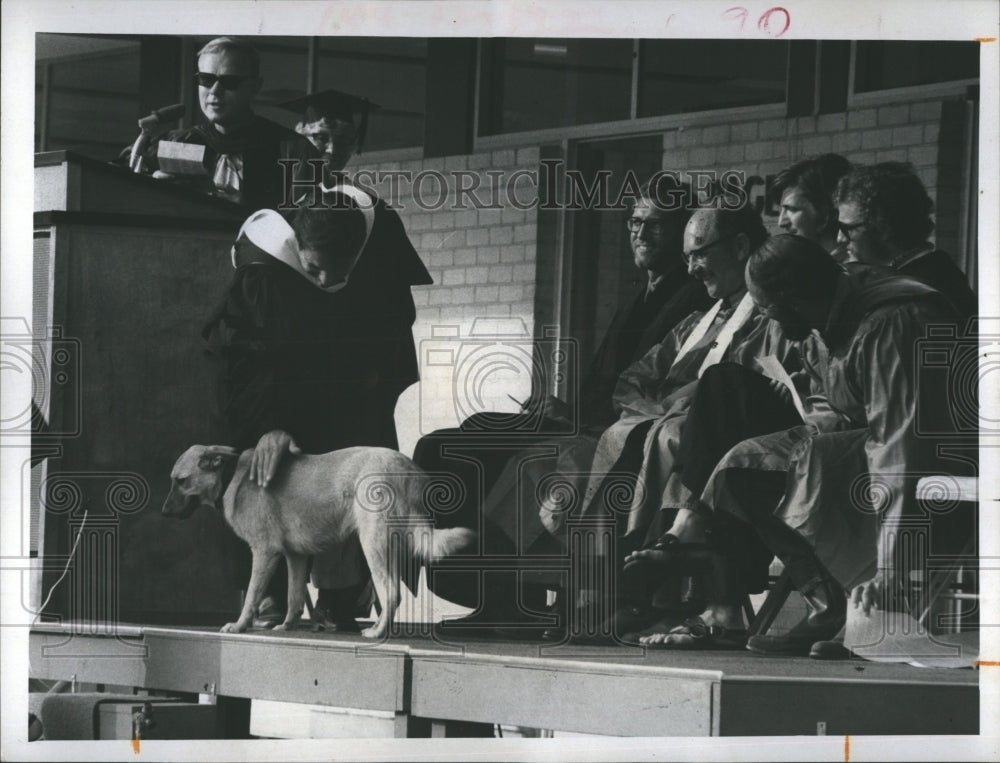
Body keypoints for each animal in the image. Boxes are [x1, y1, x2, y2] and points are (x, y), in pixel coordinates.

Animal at [162, 444, 474, 636]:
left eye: (181, 481)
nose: (163, 513)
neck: (230, 477)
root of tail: (409, 469)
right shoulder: (295, 557)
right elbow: (294, 597)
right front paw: (287, 625)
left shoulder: (264, 552)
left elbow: (251, 596)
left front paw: (239, 626)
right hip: (388, 546)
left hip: (372, 543)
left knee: (391, 593)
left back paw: (376, 632)